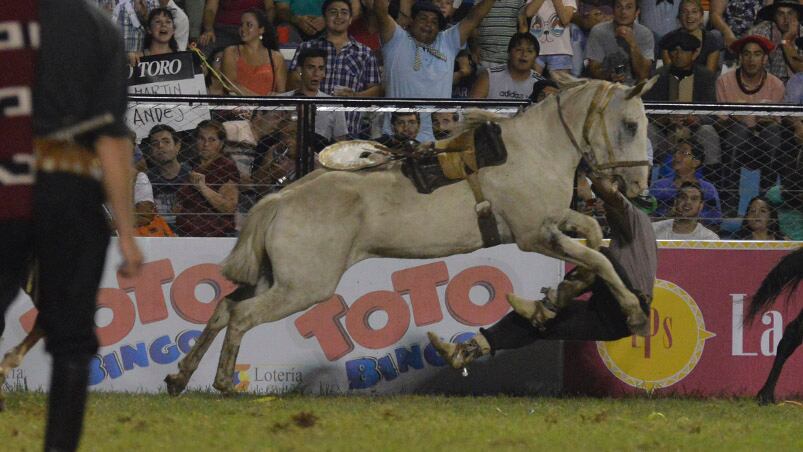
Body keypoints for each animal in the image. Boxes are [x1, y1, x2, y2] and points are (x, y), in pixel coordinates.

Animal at [165, 76, 660, 394]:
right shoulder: (532, 234)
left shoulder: (553, 222)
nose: (639, 185)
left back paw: (179, 377)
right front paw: (634, 313)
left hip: (277, 278)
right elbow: (599, 257)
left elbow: (593, 238)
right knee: (241, 315)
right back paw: (224, 382)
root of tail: (279, 200)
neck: (534, 149)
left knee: (224, 308)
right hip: (303, 286)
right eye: (631, 125)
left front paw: (553, 299)